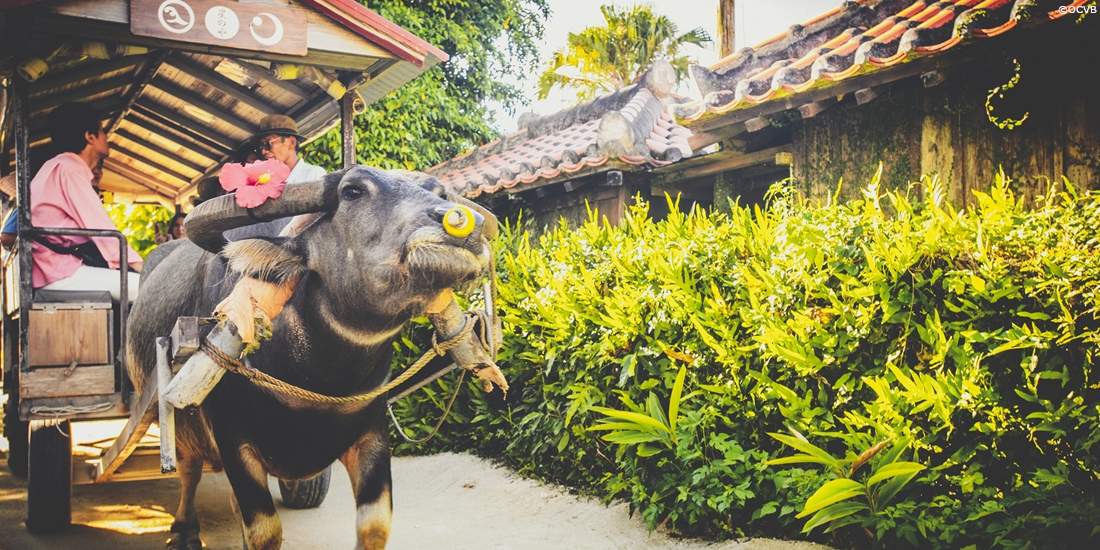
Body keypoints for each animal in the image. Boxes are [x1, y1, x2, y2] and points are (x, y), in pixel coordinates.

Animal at [126, 166, 492, 550]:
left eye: (440, 192)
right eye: (353, 191)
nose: (466, 224)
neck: (317, 376)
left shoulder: (372, 435)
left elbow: (375, 526)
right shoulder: (233, 441)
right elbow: (264, 531)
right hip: (178, 422)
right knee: (189, 470)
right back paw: (184, 530)